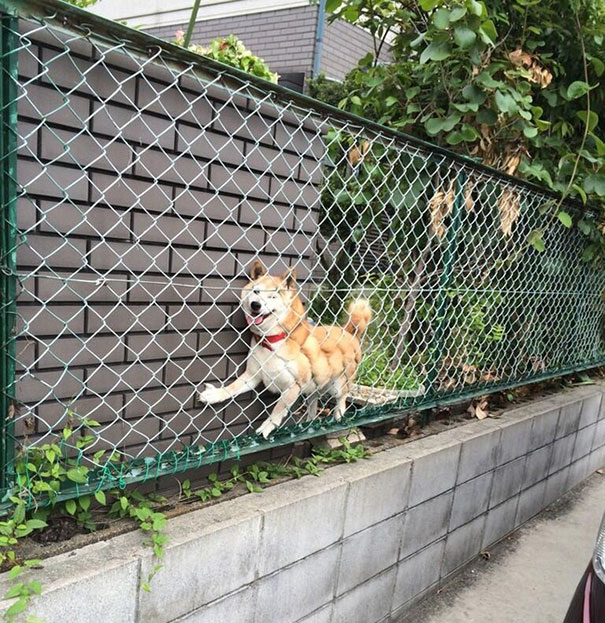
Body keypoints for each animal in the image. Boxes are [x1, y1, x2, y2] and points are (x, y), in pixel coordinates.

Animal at [198, 260, 370, 442]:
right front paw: (215, 395)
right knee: (313, 402)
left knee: (342, 396)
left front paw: (267, 426)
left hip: (338, 384)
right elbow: (232, 388)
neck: (271, 341)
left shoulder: (294, 385)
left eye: (273, 295)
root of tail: (349, 332)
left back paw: (338, 412)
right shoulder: (253, 374)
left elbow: (278, 409)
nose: (255, 305)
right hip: (315, 384)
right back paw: (309, 421)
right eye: (256, 291)